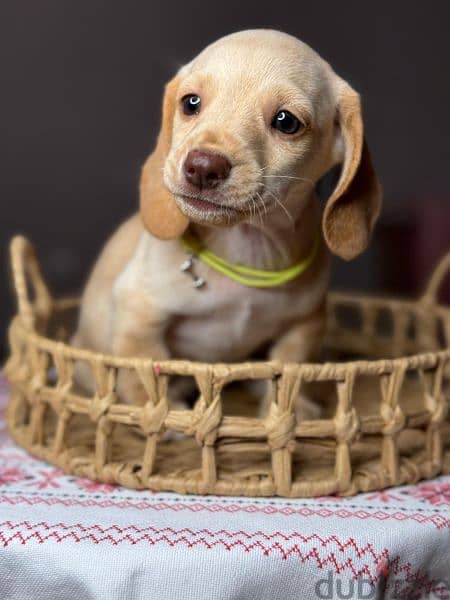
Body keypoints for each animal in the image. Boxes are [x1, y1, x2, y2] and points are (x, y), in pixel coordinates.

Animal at [72, 29, 382, 412]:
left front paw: (289, 408)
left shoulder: (305, 324)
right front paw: (161, 412)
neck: (248, 243)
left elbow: (290, 372)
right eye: (191, 103)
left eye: (287, 122)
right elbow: (144, 377)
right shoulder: (138, 316)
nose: (203, 167)